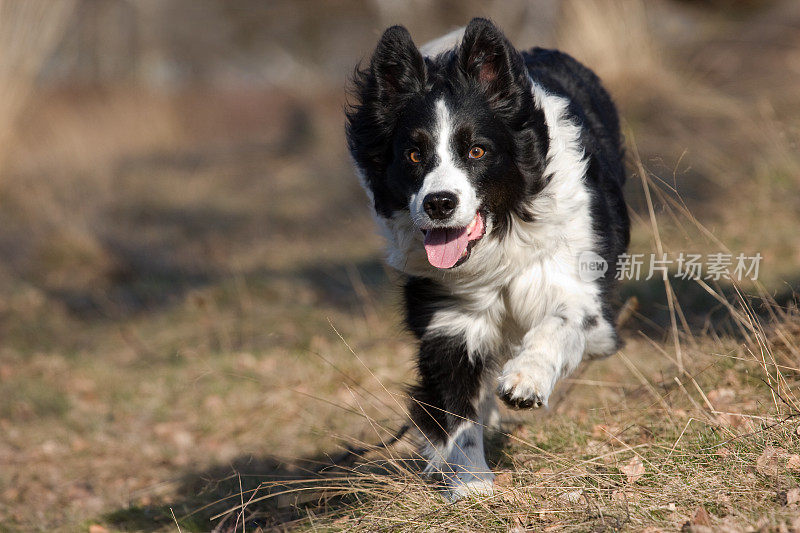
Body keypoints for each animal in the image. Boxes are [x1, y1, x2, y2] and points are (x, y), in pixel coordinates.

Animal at [346, 17, 628, 498]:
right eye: (413, 154)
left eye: (477, 150)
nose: (439, 203)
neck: (500, 236)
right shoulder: (448, 316)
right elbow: (456, 405)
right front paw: (469, 483)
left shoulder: (579, 288)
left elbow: (562, 321)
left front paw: (525, 380)